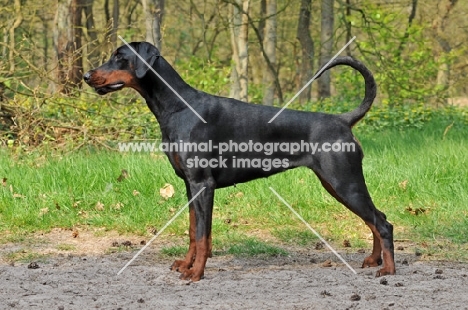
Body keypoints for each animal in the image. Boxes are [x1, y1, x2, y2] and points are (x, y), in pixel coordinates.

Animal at [83, 42, 394, 282]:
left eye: (119, 56)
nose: (86, 75)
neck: (178, 106)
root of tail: (343, 120)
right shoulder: (190, 185)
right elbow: (193, 232)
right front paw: (186, 264)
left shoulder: (203, 184)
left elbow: (203, 235)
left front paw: (196, 273)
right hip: (336, 184)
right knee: (375, 219)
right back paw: (374, 260)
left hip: (343, 181)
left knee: (382, 222)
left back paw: (388, 269)